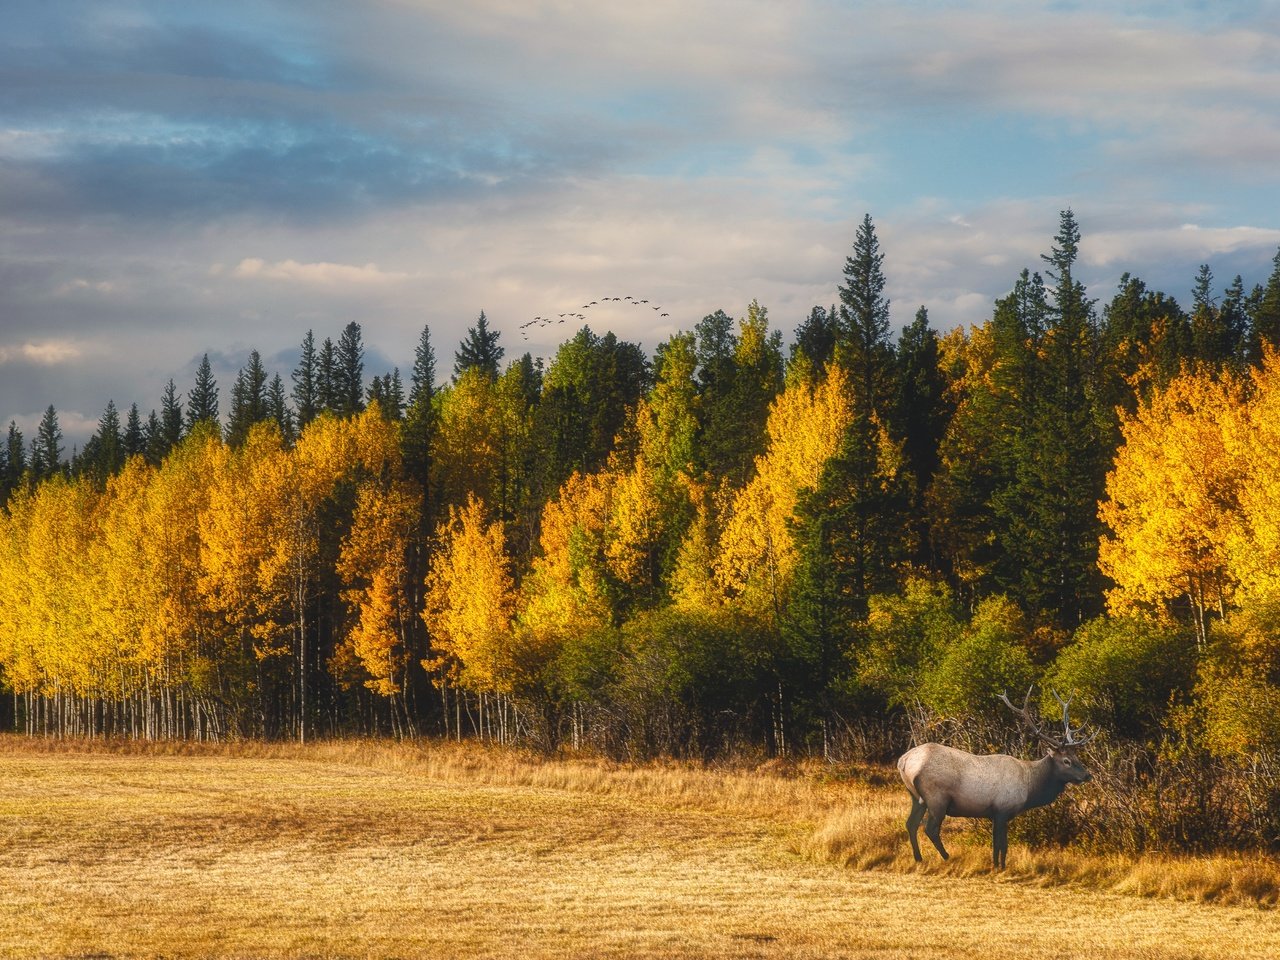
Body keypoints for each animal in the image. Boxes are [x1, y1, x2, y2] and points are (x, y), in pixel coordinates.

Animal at [896, 686, 1095, 870]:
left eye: (1077, 756)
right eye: (1066, 761)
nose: (1087, 775)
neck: (1030, 787)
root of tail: (903, 761)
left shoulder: (993, 813)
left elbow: (995, 844)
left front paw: (995, 865)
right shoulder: (1002, 809)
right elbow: (1003, 845)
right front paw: (1002, 867)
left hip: (916, 797)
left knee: (911, 824)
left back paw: (918, 858)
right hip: (936, 797)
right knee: (930, 828)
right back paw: (947, 857)